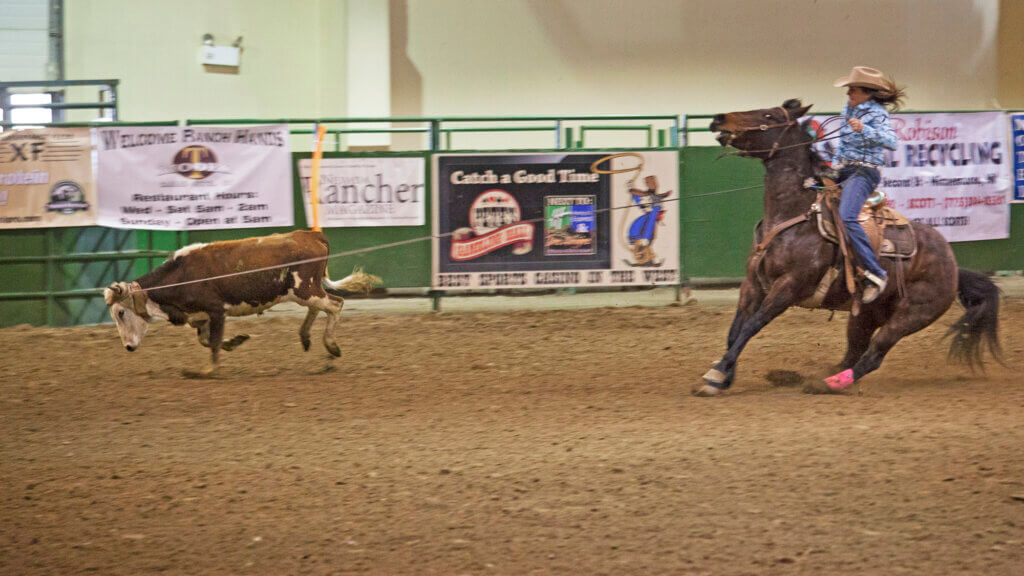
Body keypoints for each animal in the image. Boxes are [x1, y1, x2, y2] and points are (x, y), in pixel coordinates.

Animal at [103, 229, 380, 377]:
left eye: (120, 313)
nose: (128, 347)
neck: (182, 273)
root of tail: (311, 235)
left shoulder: (216, 311)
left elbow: (213, 343)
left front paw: (208, 371)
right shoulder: (201, 316)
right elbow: (206, 340)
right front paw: (235, 341)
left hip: (306, 289)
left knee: (335, 304)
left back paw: (331, 347)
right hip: (306, 291)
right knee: (321, 307)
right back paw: (305, 337)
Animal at [696, 98, 999, 393]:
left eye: (770, 116)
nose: (719, 118)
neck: (791, 217)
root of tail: (954, 266)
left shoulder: (788, 287)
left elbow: (751, 327)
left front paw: (716, 374)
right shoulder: (752, 284)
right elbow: (735, 331)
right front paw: (725, 375)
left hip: (914, 313)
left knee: (874, 354)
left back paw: (829, 384)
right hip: (865, 314)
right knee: (854, 351)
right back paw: (820, 376)